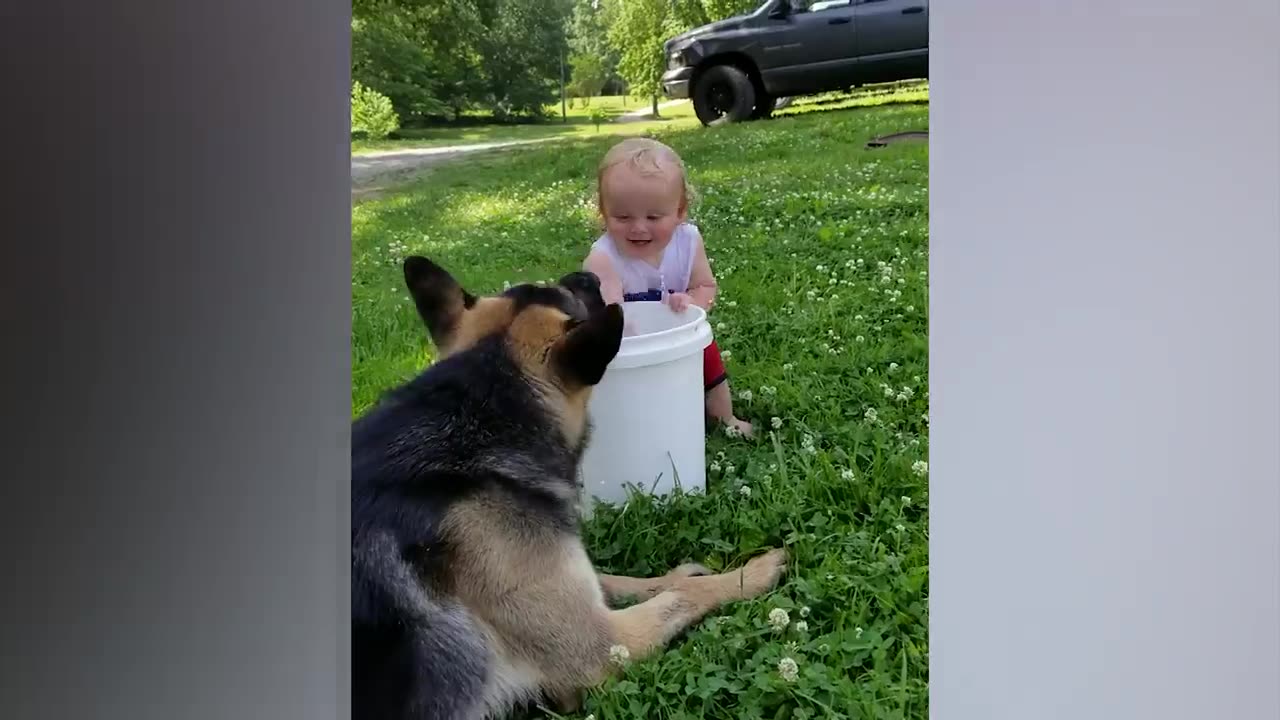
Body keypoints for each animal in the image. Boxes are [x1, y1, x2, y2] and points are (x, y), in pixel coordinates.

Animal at [353, 256, 788, 717]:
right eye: (574, 297)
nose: (589, 275)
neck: (479, 407)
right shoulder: (600, 647)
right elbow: (683, 596)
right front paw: (751, 573)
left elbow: (617, 580)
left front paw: (676, 573)